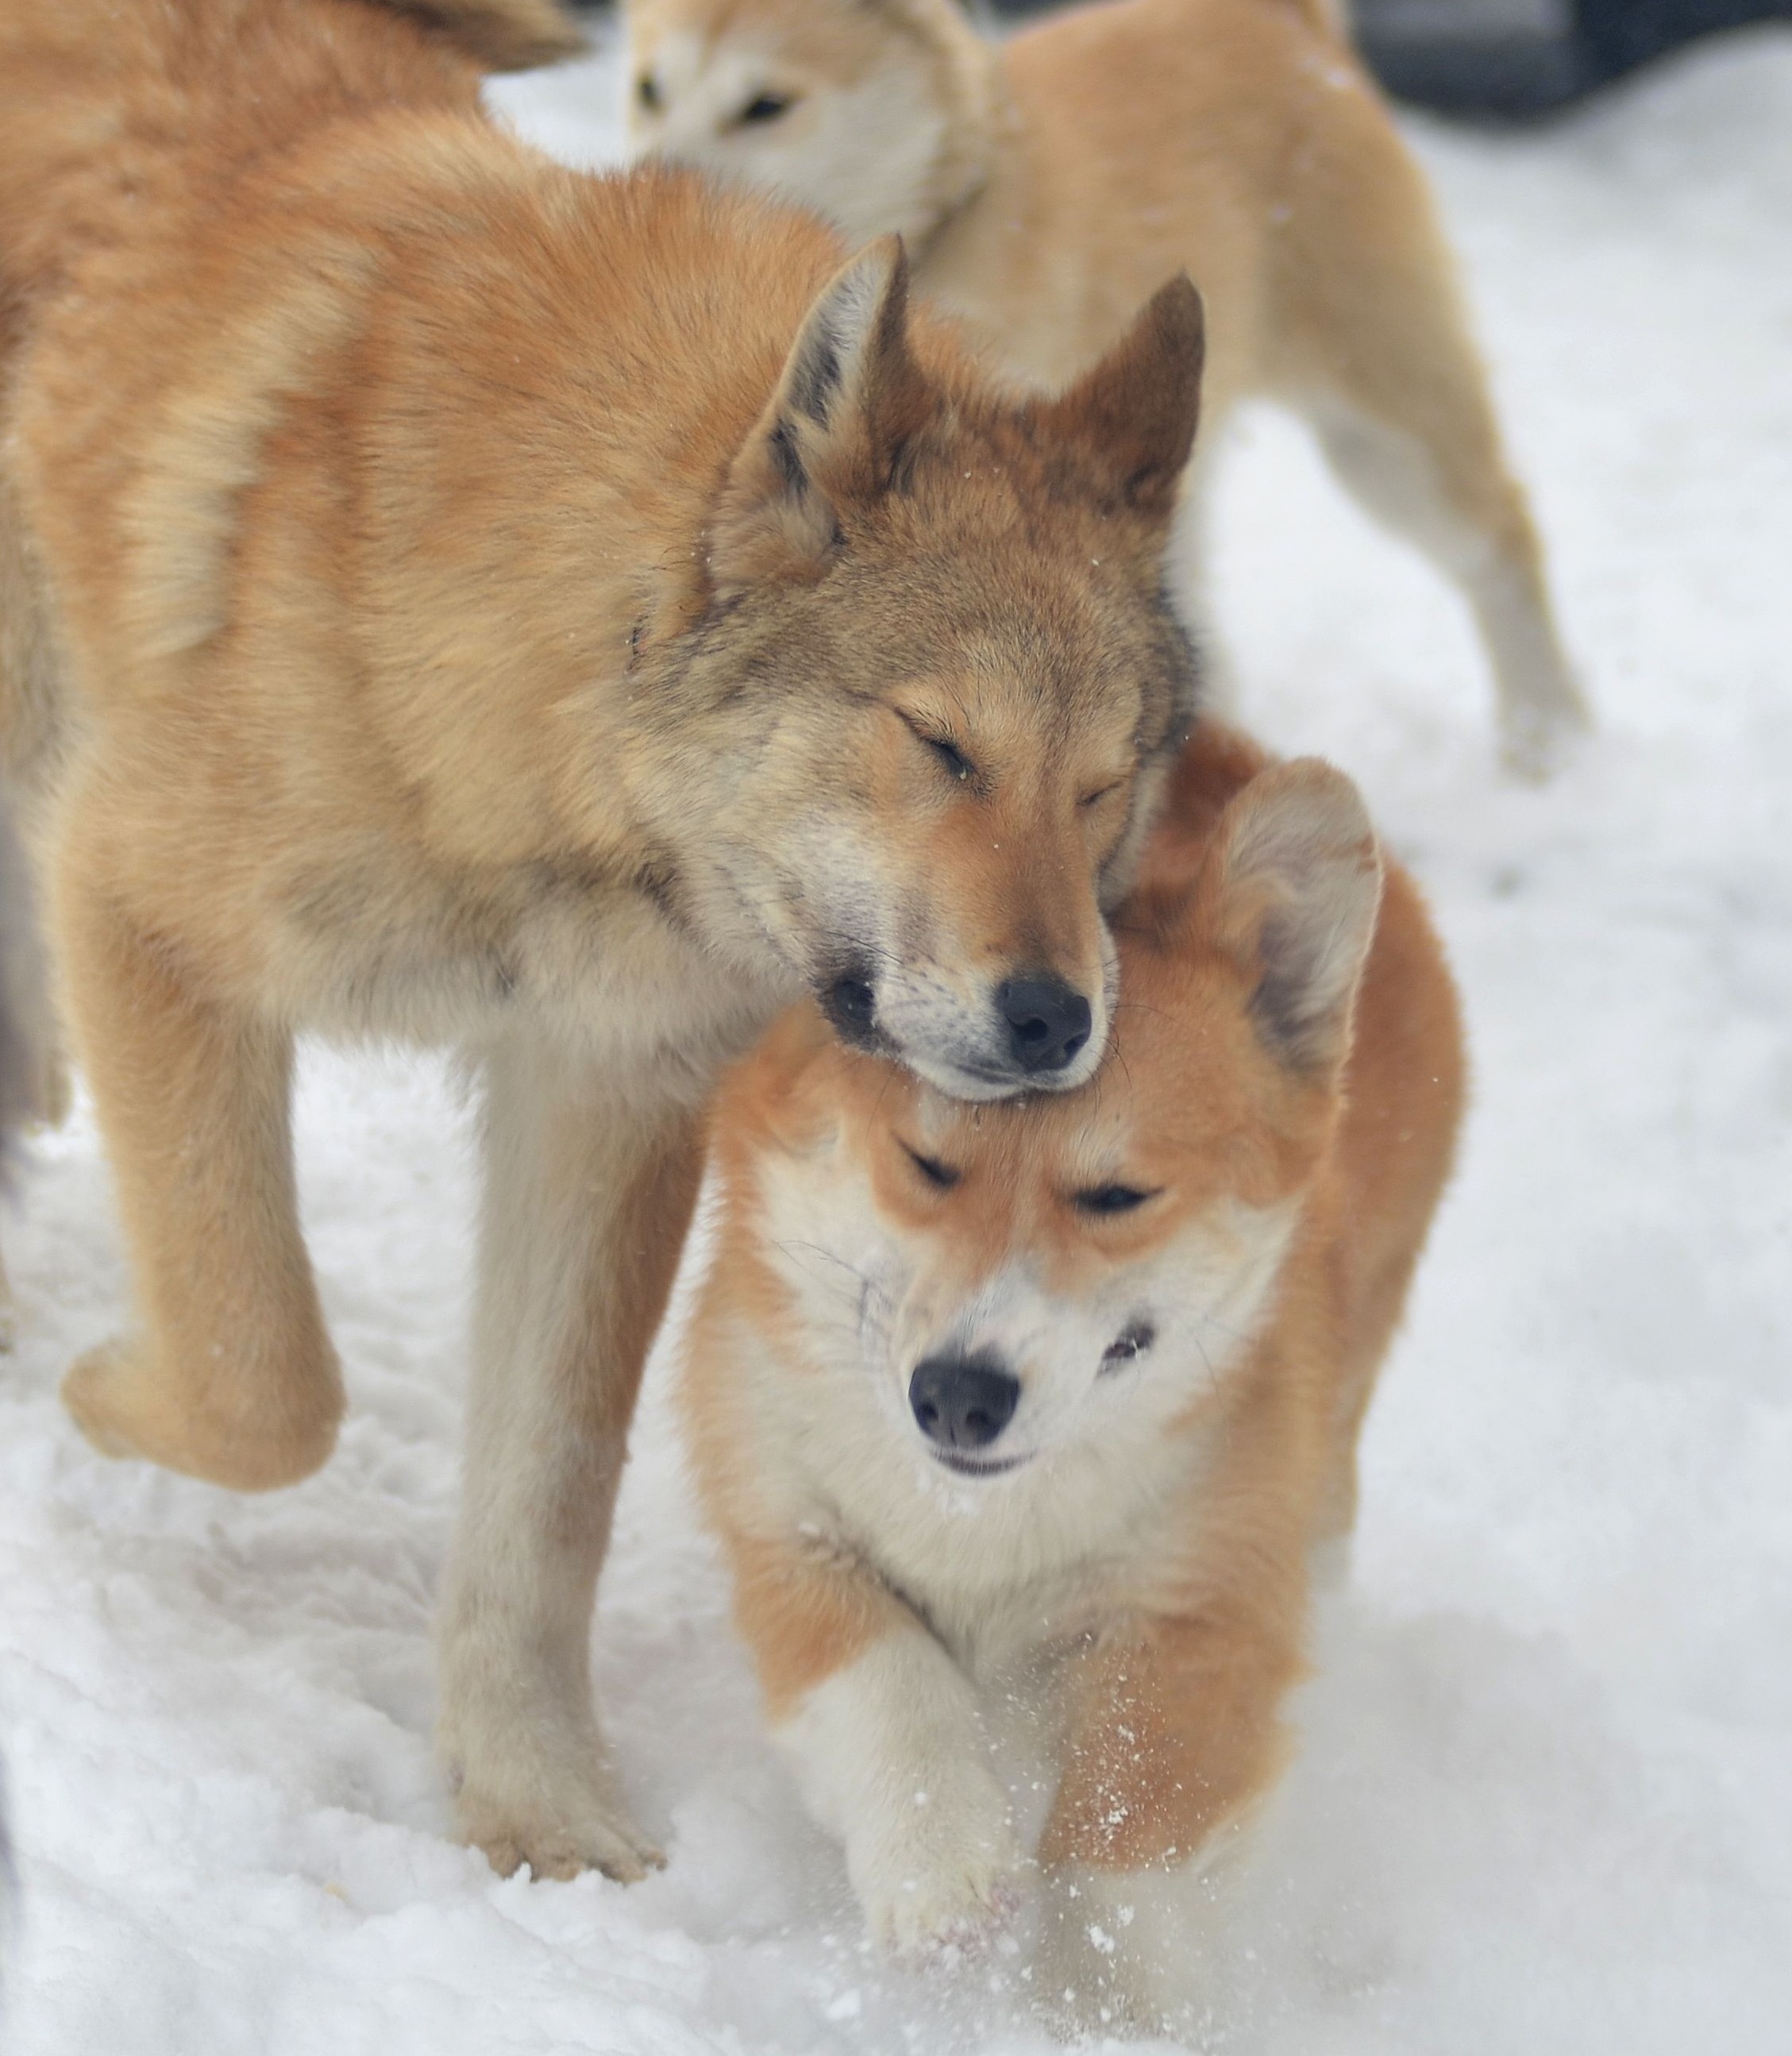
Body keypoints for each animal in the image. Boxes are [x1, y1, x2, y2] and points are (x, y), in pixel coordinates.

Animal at [0, 0, 1209, 1883]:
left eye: (1104, 787)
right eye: (942, 745)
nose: (1055, 1025)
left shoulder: (601, 1091)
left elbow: (545, 1493)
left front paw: (533, 1803)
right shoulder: (140, 910)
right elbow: (270, 1378)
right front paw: (106, 1389)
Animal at [624, 0, 1590, 774]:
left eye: (765, 106)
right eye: (647, 89)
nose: (652, 194)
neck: (951, 222)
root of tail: (1284, 21)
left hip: (1381, 433)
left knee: (1500, 534)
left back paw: (1547, 739)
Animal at [681, 723, 1465, 2024]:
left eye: (1117, 1196)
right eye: (926, 1164)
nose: (958, 1395)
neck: (985, 1524)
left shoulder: (1203, 1611)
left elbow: (1126, 1823)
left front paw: (1114, 1995)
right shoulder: (792, 1539)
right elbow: (885, 1685)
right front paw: (944, 1872)